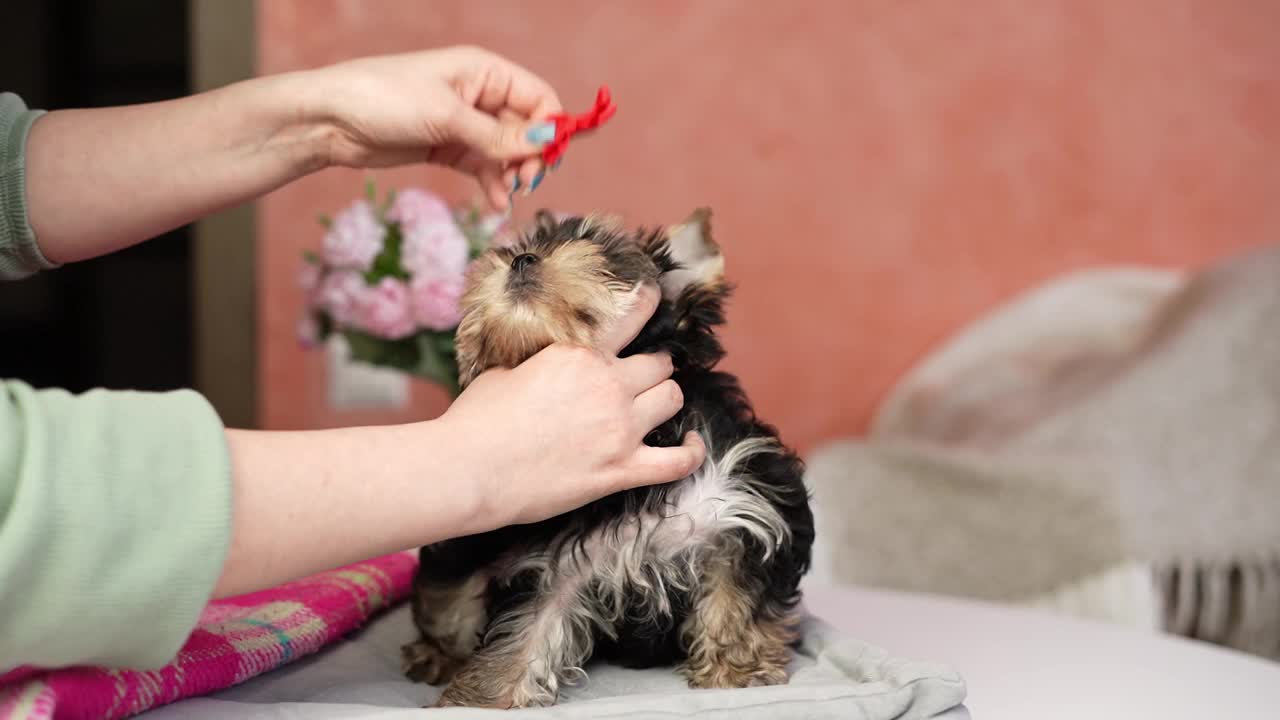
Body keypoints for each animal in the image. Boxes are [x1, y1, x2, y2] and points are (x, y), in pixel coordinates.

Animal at [404, 207, 814, 707]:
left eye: (602, 250)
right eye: (524, 246)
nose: (521, 259)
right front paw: (486, 700)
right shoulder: (556, 559)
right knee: (448, 597)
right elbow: (525, 632)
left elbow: (737, 602)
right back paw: (436, 653)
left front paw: (737, 672)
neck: (651, 443)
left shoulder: (742, 513)